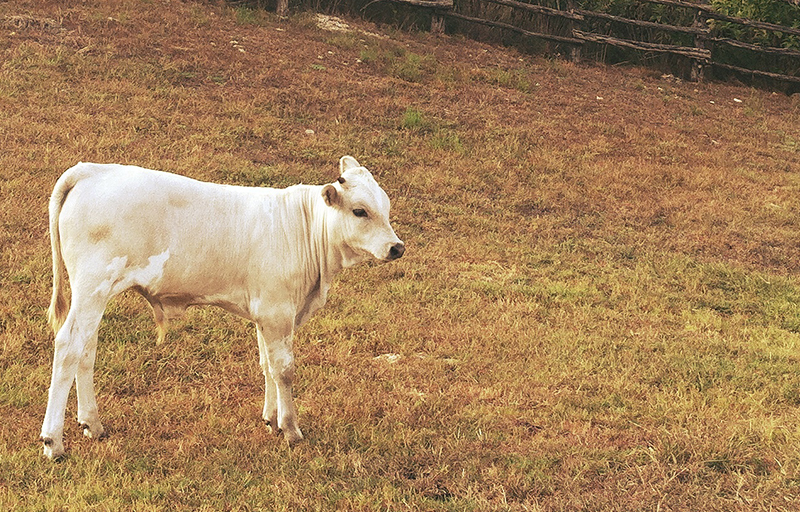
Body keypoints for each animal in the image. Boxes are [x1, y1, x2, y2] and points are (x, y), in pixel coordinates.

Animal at [40, 156, 405, 460]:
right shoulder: (277, 312)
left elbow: (266, 365)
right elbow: (284, 369)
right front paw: (291, 428)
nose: (397, 247)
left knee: (86, 350)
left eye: (385, 207)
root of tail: (91, 170)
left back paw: (92, 424)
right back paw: (53, 442)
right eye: (360, 211)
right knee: (68, 346)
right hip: (92, 287)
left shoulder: (264, 313)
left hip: (94, 297)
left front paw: (271, 418)